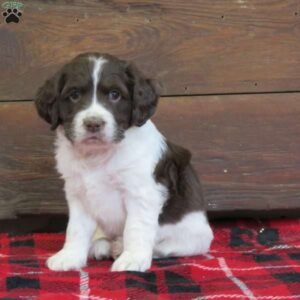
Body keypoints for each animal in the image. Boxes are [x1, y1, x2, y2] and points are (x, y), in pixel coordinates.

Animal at [34, 52, 213, 272]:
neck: (98, 155)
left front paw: (133, 259)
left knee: (165, 244)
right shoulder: (78, 193)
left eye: (115, 95)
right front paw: (70, 256)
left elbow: (135, 228)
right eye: (74, 95)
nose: (93, 124)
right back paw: (102, 246)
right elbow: (76, 228)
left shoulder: (141, 193)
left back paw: (120, 247)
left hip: (193, 236)